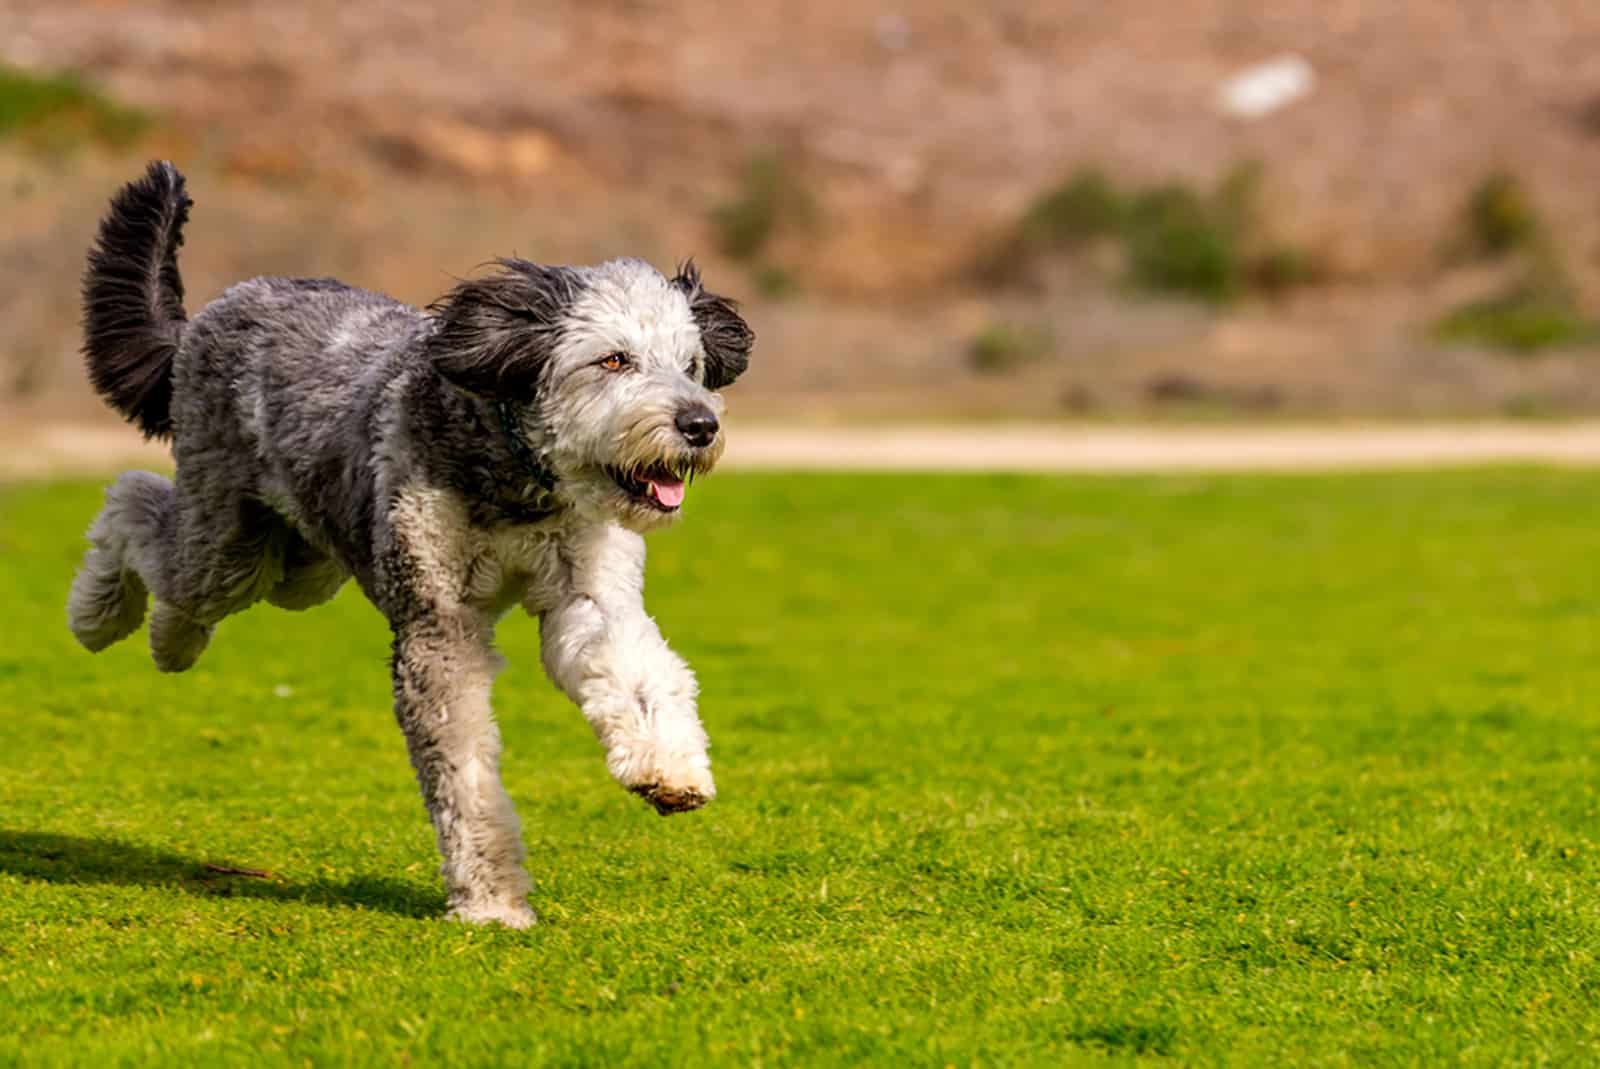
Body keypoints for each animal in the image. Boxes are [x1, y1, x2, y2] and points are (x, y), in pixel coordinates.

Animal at [65, 160, 752, 928]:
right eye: (612, 361)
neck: (515, 476)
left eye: (690, 364)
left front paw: (670, 769)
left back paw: (164, 637)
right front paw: (490, 899)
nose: (699, 425)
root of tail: (203, 323)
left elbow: (639, 672)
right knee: (132, 505)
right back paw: (108, 619)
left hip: (302, 563)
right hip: (229, 543)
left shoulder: (590, 593)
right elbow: (465, 771)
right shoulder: (437, 626)